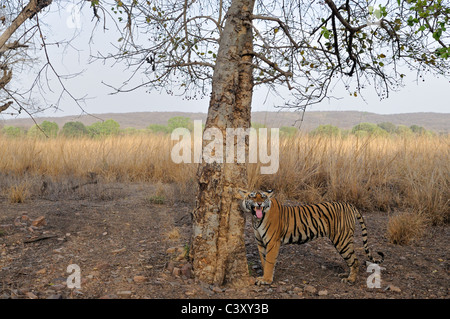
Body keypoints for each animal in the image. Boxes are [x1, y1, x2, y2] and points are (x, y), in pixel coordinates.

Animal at [239, 190, 384, 284]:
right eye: (252, 197)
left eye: (263, 197)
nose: (259, 204)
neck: (256, 219)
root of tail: (349, 204)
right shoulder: (260, 242)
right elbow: (263, 260)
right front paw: (263, 276)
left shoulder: (273, 242)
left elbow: (269, 262)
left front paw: (266, 280)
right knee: (351, 259)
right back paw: (345, 274)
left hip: (342, 240)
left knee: (355, 260)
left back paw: (350, 279)